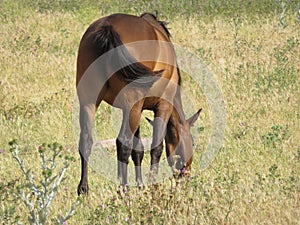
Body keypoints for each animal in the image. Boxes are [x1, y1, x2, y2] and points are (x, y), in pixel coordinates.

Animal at [76, 12, 200, 195]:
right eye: (192, 143)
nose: (185, 175)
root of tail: (108, 27)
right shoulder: (162, 106)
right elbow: (156, 147)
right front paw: (152, 185)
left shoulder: (137, 109)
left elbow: (138, 149)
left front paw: (140, 185)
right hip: (131, 104)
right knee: (123, 143)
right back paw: (123, 189)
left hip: (89, 101)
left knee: (86, 140)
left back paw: (83, 189)